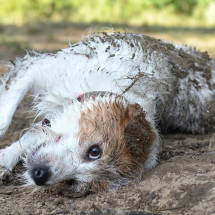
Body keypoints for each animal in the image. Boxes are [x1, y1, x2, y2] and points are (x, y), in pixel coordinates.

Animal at [0, 32, 215, 195]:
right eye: (95, 151)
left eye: (74, 181)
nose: (40, 175)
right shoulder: (37, 68)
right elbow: (6, 118)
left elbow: (32, 136)